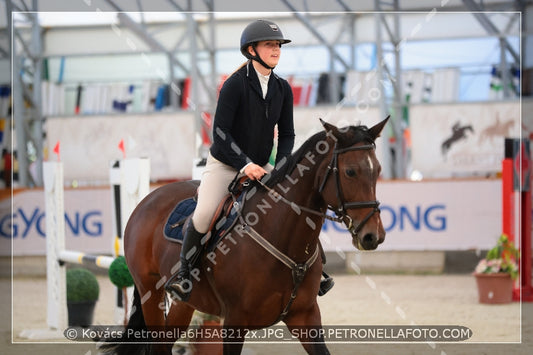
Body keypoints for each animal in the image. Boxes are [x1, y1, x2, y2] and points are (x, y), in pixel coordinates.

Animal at [100, 116, 388, 354]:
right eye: (350, 171)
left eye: (378, 170)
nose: (373, 236)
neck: (284, 236)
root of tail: (149, 199)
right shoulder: (235, 322)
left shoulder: (305, 317)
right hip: (150, 293)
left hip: (185, 303)